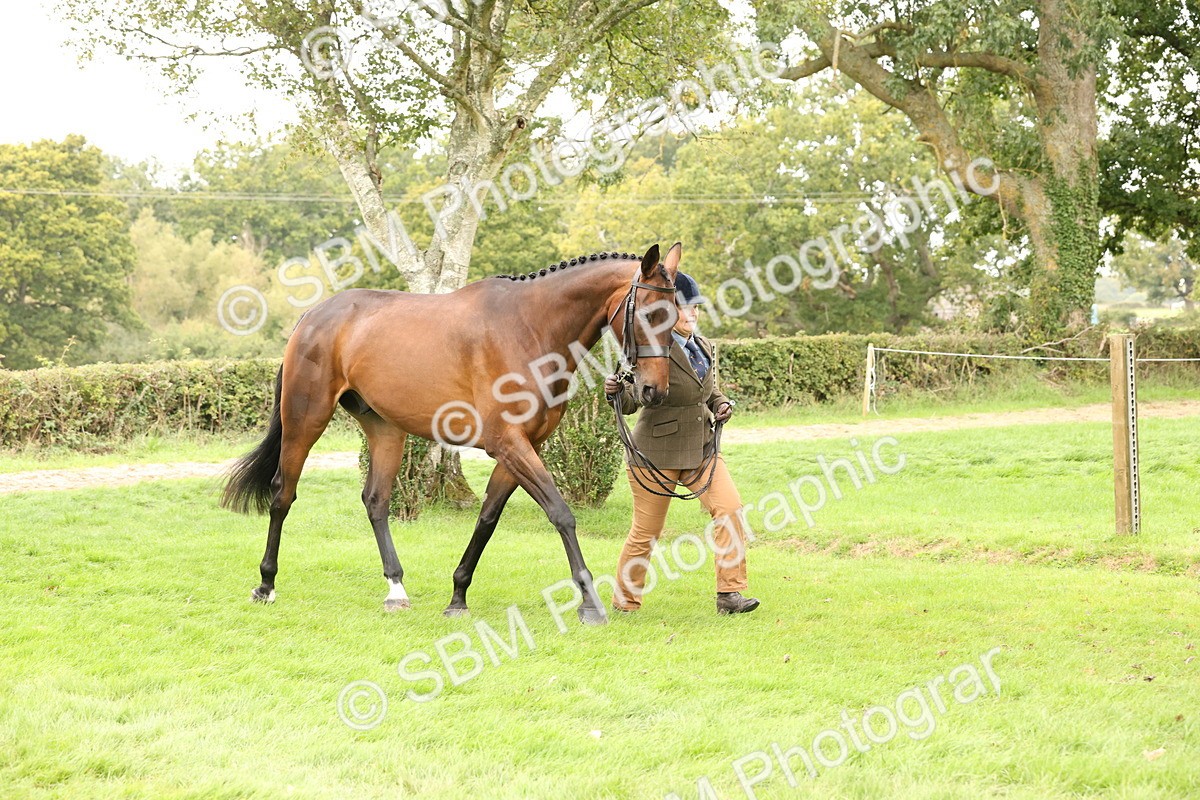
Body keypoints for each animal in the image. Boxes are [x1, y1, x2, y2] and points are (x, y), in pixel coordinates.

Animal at [220, 243, 682, 625]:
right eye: (648, 314)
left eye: (676, 317)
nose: (652, 391)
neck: (529, 328)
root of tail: (313, 316)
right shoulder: (509, 444)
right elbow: (561, 513)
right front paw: (589, 602)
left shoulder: (521, 448)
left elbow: (487, 519)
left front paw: (458, 596)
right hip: (306, 420)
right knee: (282, 493)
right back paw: (266, 584)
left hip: (385, 429)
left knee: (376, 501)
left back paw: (396, 589)